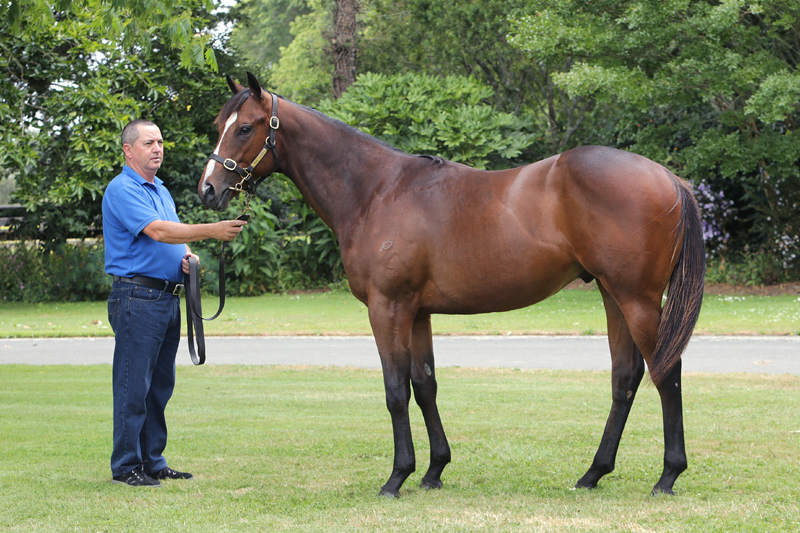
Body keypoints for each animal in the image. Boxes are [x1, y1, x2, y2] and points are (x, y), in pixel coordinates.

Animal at [198, 72, 705, 497]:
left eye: (245, 128)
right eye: (219, 124)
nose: (208, 189)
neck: (376, 191)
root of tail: (668, 176)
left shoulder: (387, 307)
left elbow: (395, 390)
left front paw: (397, 477)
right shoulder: (417, 312)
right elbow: (425, 385)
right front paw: (434, 470)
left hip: (636, 299)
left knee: (667, 372)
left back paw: (668, 475)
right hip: (612, 294)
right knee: (626, 377)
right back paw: (593, 473)